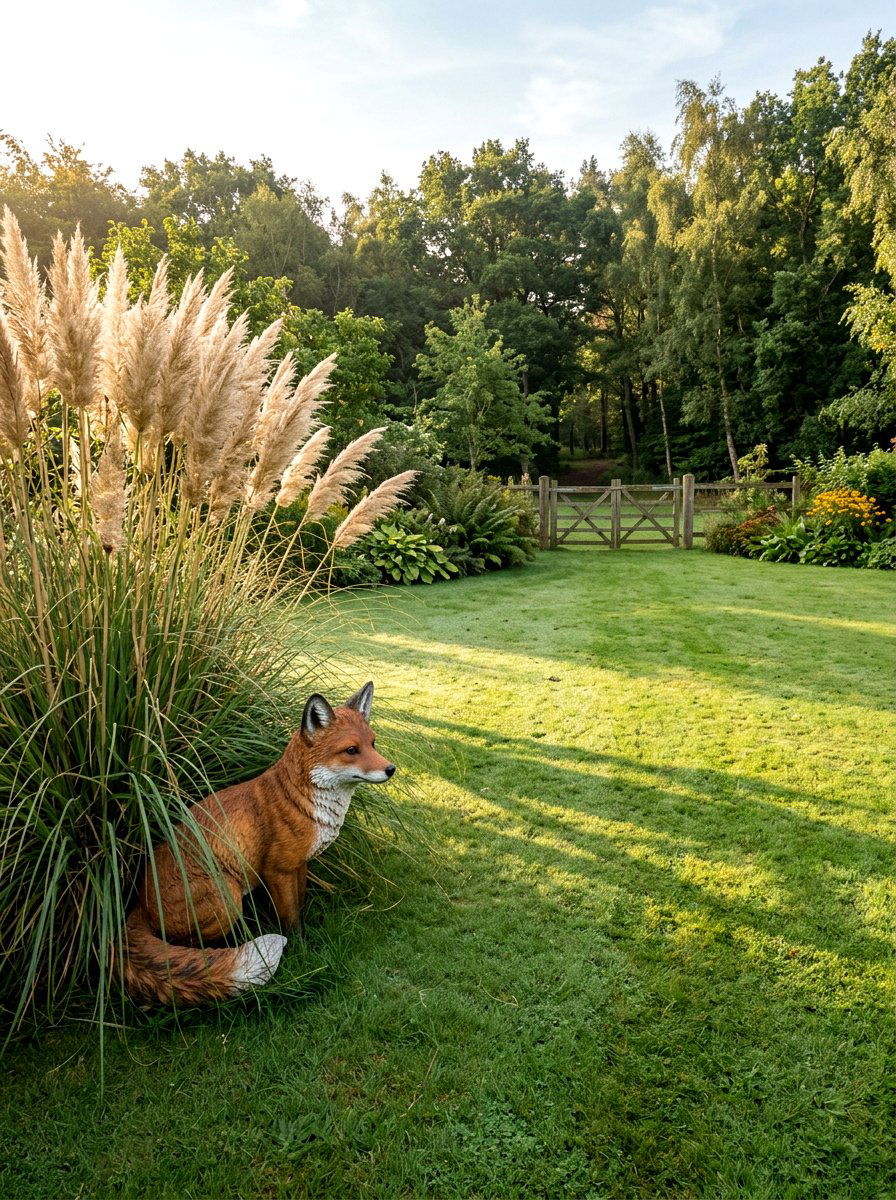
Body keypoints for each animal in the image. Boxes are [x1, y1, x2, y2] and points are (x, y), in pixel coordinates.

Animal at [118, 682, 394, 1006]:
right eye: (351, 750)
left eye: (373, 744)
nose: (391, 769)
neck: (303, 803)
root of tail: (137, 902)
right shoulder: (276, 870)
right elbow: (290, 920)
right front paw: (302, 951)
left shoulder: (299, 865)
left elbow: (300, 904)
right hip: (227, 896)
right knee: (183, 942)